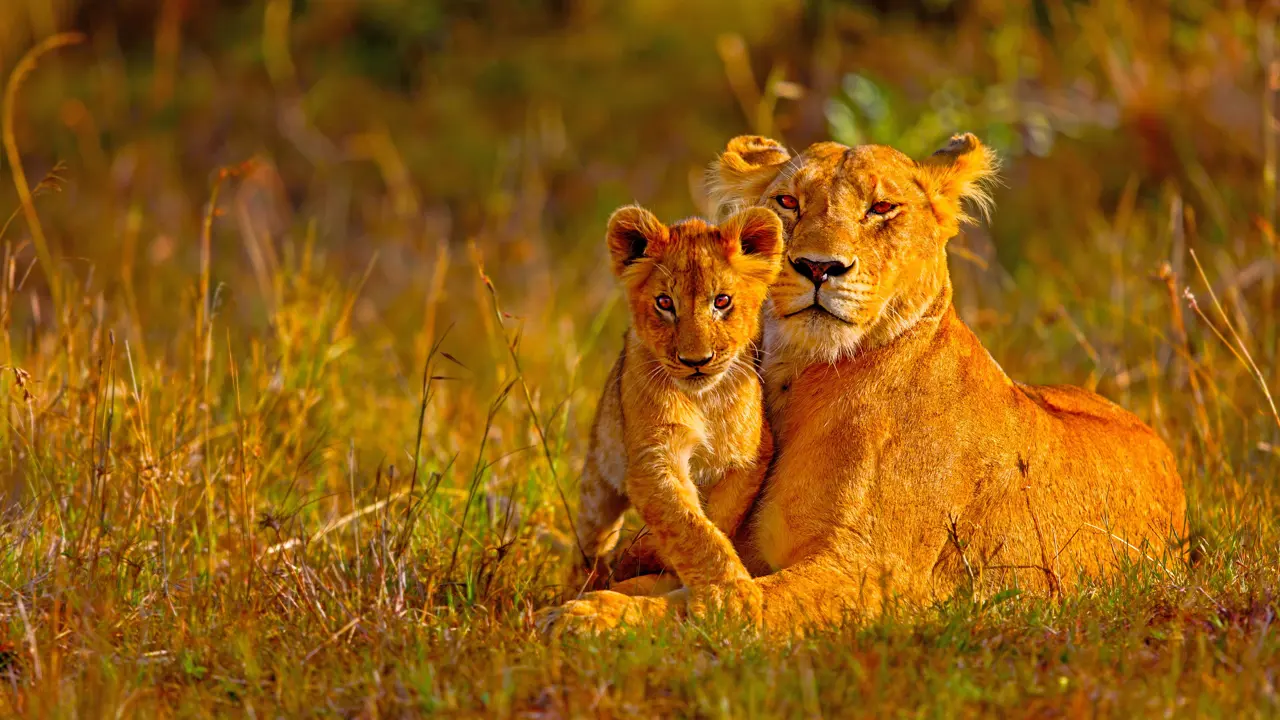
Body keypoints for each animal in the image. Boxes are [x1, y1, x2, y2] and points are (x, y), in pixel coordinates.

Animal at [569, 204, 784, 618]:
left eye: (722, 301)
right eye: (665, 303)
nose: (696, 361)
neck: (704, 400)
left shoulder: (751, 456)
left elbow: (717, 518)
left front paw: (654, 555)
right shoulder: (653, 460)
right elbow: (689, 526)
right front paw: (731, 595)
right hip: (597, 483)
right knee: (590, 541)